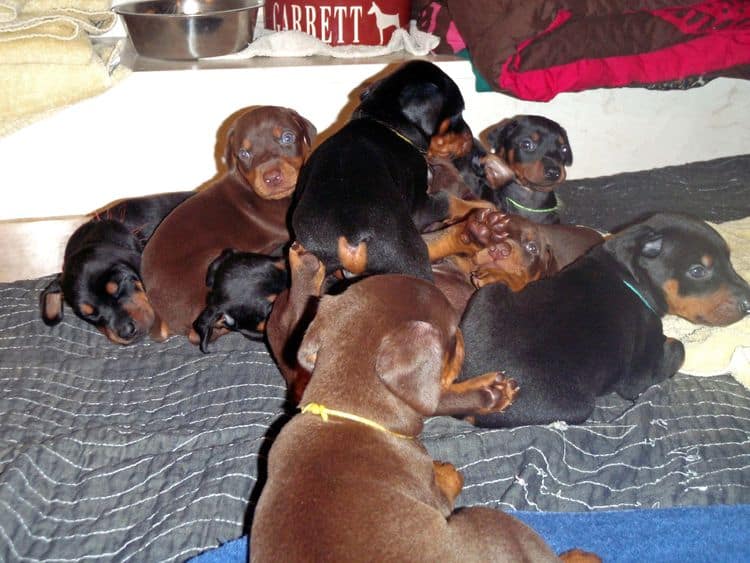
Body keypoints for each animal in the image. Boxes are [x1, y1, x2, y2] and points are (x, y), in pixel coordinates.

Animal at [290, 61, 496, 282]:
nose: (470, 139)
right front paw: (484, 204)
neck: (387, 124)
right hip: (407, 253)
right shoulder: (420, 206)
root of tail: (348, 240)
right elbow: (449, 199)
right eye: (458, 113)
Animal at [458, 213, 750, 428]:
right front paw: (670, 341)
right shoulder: (638, 377)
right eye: (697, 271)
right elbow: (678, 348)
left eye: (729, 261)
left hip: (487, 295)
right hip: (573, 405)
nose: (748, 303)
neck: (628, 277)